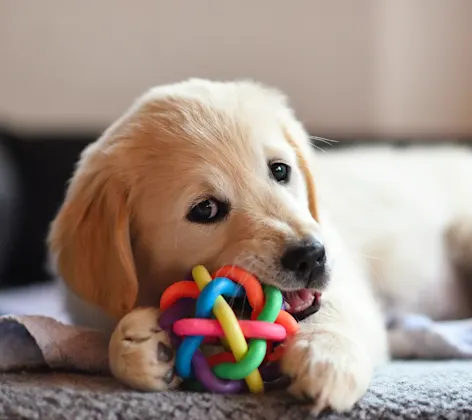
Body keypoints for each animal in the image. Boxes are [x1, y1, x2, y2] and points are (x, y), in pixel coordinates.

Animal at [48, 79, 390, 414]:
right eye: (205, 209)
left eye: (280, 170)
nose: (311, 256)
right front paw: (139, 346)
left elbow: (337, 310)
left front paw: (326, 357)